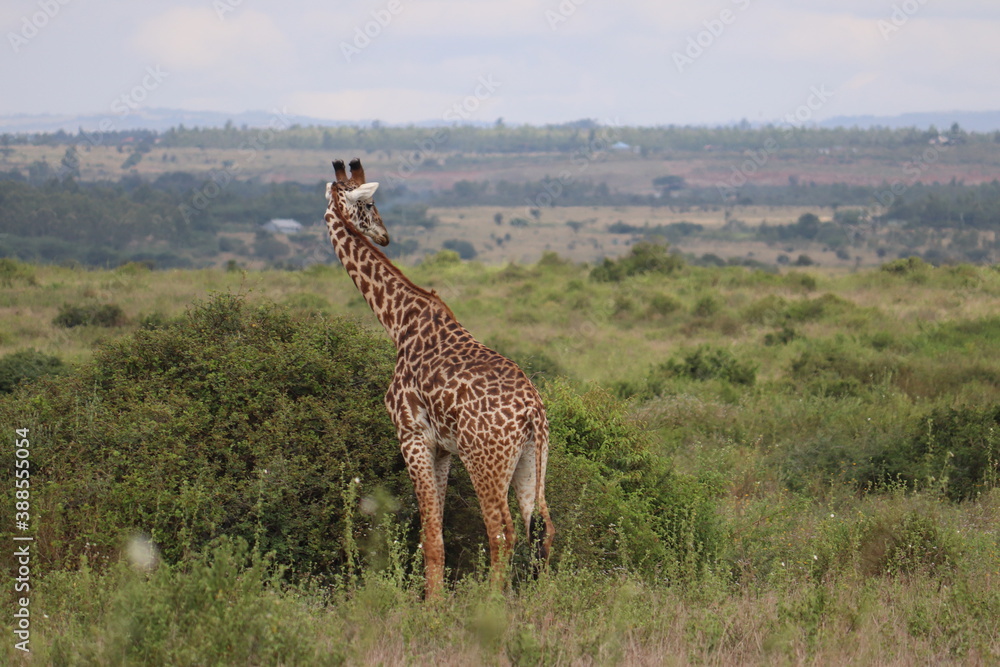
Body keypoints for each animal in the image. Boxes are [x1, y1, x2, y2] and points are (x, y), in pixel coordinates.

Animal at [324, 158, 555, 598]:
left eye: (370, 202)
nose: (384, 234)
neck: (399, 322)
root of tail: (533, 413)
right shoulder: (444, 448)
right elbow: (437, 529)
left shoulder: (412, 435)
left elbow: (430, 535)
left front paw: (431, 606)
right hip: (533, 459)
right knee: (543, 527)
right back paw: (539, 601)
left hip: (486, 461)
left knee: (503, 532)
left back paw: (493, 602)